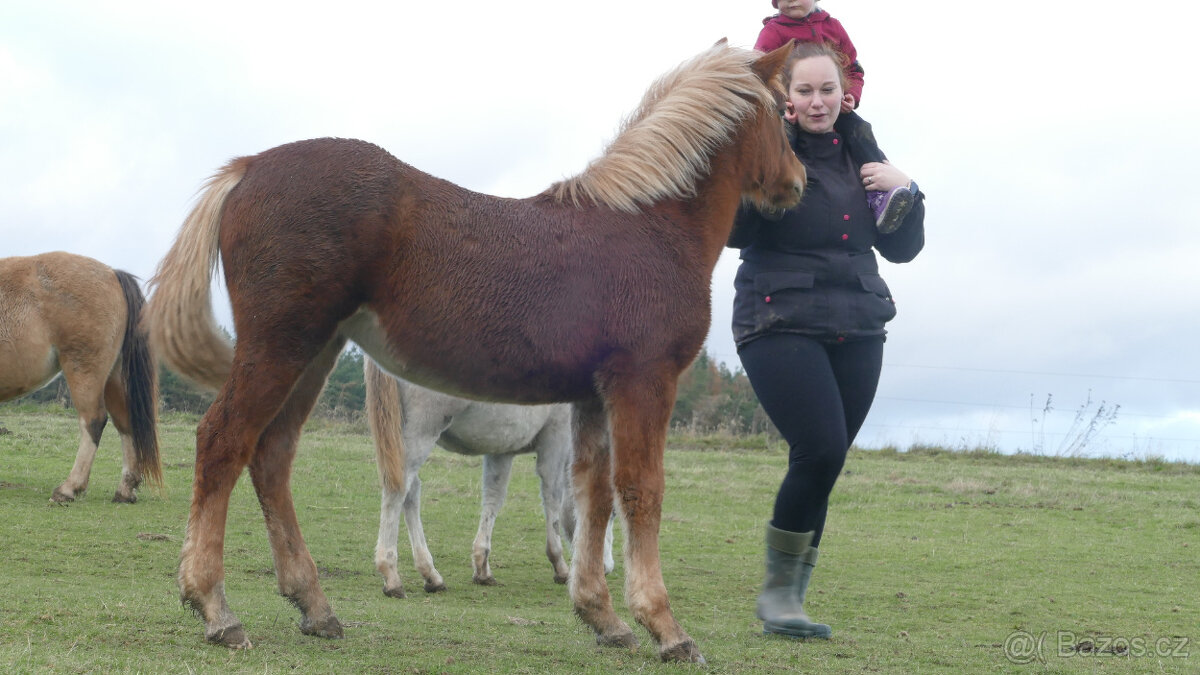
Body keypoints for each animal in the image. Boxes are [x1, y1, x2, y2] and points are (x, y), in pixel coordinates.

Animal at [0, 251, 162, 503]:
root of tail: (112, 274)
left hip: (84, 371)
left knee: (93, 421)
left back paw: (69, 488)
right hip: (114, 378)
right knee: (125, 423)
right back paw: (125, 489)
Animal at [364, 358, 614, 597]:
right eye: (610, 514)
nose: (606, 567)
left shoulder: (502, 450)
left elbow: (494, 497)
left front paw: (482, 567)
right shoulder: (556, 439)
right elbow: (552, 499)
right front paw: (560, 567)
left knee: (411, 492)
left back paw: (431, 575)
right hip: (421, 433)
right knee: (399, 490)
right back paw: (392, 575)